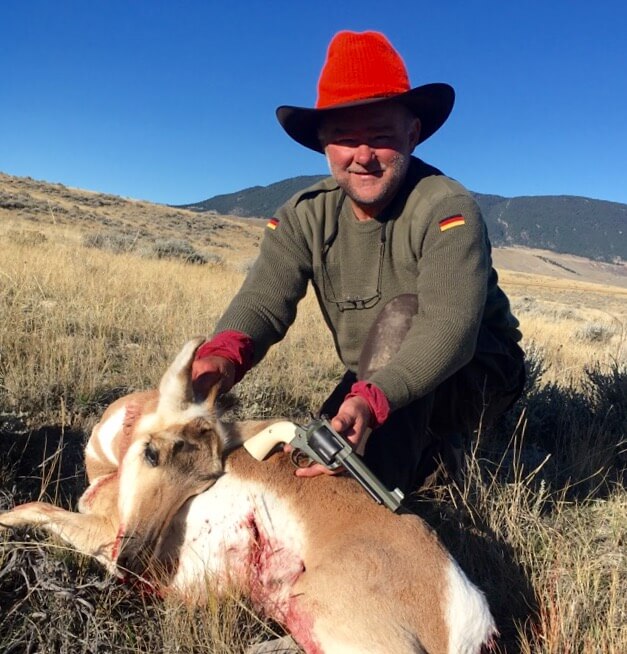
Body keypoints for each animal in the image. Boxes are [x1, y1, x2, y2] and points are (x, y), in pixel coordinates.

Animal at [1, 340, 500, 652]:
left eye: (204, 480)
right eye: (152, 453)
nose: (133, 562)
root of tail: (469, 612)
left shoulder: (100, 530)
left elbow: (32, 508)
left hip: (320, 612)